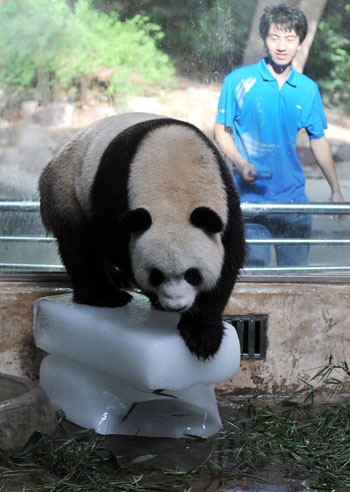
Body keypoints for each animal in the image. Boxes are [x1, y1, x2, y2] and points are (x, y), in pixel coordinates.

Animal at [39, 113, 246, 360]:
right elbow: (115, 244)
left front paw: (202, 334)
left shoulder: (225, 196)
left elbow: (229, 258)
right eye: (156, 275)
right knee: (80, 245)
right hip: (67, 190)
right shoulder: (115, 192)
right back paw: (105, 295)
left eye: (192, 275)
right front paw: (155, 297)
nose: (175, 306)